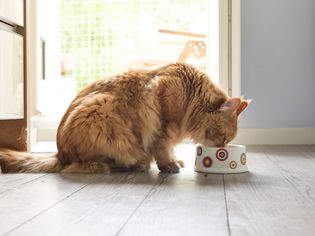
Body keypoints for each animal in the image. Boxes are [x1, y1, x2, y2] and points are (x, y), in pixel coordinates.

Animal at [0, 62, 249, 173]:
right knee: (85, 165)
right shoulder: (163, 125)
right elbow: (163, 148)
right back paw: (133, 165)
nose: (221, 147)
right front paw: (168, 165)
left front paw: (175, 160)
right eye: (224, 137)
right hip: (101, 114)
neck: (190, 95)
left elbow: (170, 149)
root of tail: (60, 153)